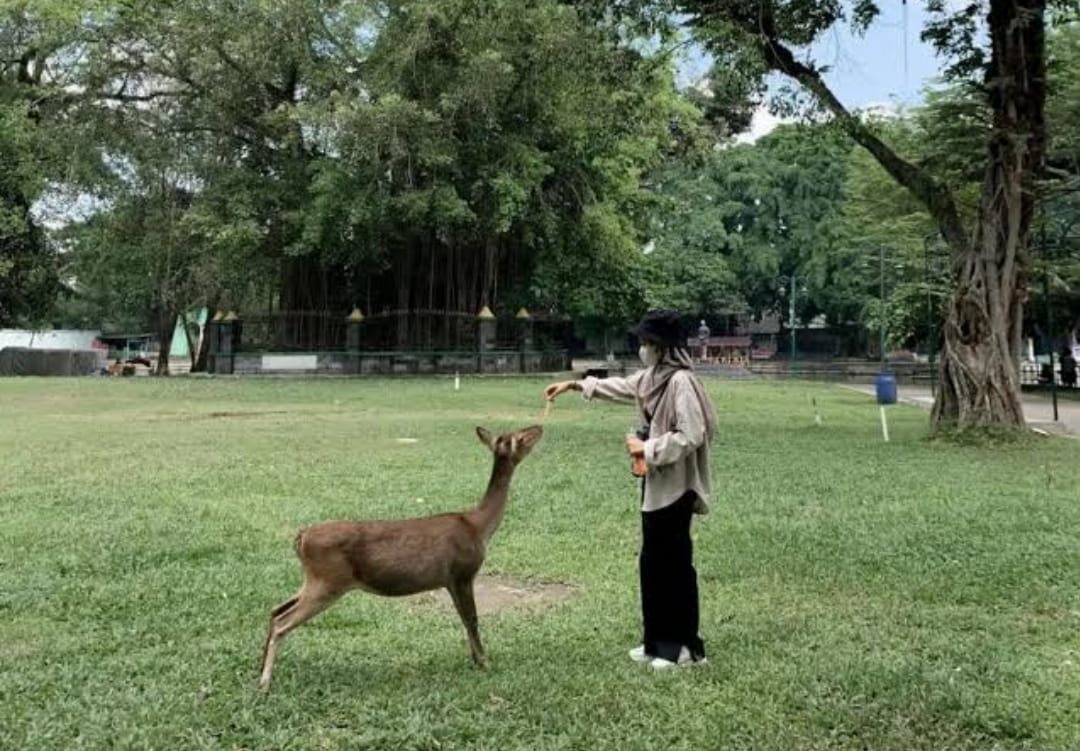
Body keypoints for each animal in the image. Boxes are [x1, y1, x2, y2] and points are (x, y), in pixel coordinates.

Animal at [254, 425, 540, 691]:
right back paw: (265, 683)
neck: (479, 527)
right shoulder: (463, 571)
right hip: (328, 580)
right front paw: (485, 662)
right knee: (282, 621)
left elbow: (463, 618)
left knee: (276, 608)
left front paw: (475, 659)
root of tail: (301, 537)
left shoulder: (450, 580)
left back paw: (260, 667)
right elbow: (472, 618)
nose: (539, 428)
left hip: (314, 579)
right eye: (520, 437)